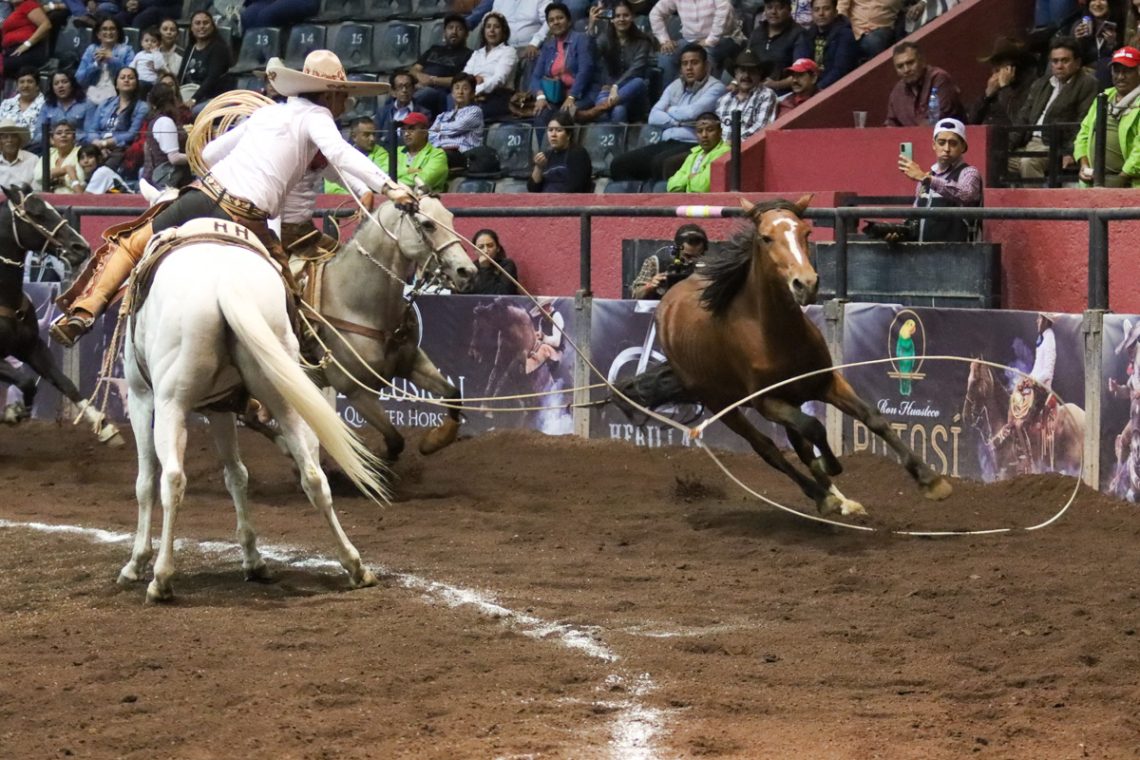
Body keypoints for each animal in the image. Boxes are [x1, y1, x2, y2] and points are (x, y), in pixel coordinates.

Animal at [0, 184, 122, 444]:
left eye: (52, 208)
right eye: (36, 214)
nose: (80, 246)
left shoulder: (32, 346)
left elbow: (64, 383)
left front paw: (104, 425)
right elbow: (26, 380)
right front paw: (13, 412)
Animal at [117, 221, 388, 603]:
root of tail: (226, 283)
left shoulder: (142, 397)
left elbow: (145, 481)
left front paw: (135, 563)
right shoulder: (219, 407)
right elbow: (236, 475)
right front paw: (253, 559)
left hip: (171, 403)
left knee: (171, 479)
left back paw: (161, 579)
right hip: (284, 394)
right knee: (313, 477)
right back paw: (355, 567)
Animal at [295, 193, 476, 461]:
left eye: (451, 218)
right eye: (427, 224)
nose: (467, 272)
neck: (356, 304)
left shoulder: (412, 362)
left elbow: (454, 395)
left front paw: (435, 440)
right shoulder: (356, 391)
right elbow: (395, 440)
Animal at [616, 195, 952, 516]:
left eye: (805, 232)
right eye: (766, 237)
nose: (806, 283)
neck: (776, 334)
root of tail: (667, 304)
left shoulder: (826, 383)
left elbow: (873, 418)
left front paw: (930, 480)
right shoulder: (766, 402)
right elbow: (814, 429)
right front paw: (830, 465)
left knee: (799, 444)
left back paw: (841, 501)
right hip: (722, 403)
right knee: (768, 449)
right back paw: (823, 497)